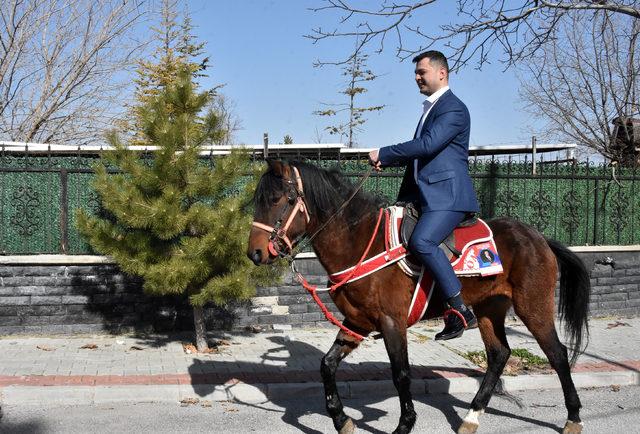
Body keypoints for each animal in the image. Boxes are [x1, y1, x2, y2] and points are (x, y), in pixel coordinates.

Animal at [246, 159, 592, 434]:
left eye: (278, 199)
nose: (255, 253)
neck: (360, 242)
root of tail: (540, 238)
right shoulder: (357, 322)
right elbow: (326, 365)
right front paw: (342, 420)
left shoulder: (391, 322)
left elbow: (401, 374)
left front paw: (404, 425)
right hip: (488, 310)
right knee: (499, 355)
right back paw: (471, 417)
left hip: (533, 307)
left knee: (558, 354)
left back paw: (573, 418)